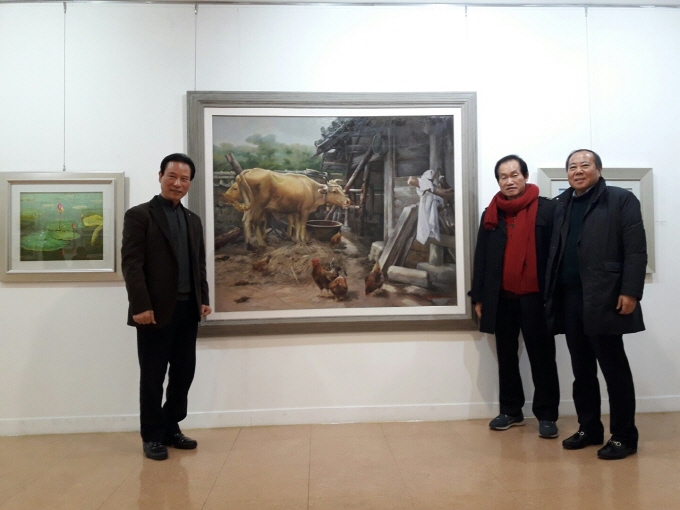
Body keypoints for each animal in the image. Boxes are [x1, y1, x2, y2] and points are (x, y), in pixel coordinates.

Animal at [223, 168, 351, 247]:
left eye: (341, 189)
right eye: (334, 191)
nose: (348, 201)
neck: (311, 188)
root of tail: (251, 170)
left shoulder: (296, 211)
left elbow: (296, 225)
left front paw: (297, 240)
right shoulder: (305, 210)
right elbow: (302, 225)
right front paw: (303, 241)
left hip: (250, 205)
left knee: (246, 220)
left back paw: (249, 244)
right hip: (259, 205)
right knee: (254, 221)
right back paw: (262, 244)